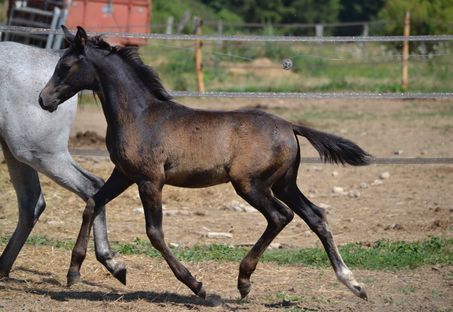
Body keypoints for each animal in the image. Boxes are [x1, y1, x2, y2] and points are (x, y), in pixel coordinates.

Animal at [0, 41, 124, 282]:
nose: (45, 99)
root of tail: (52, 54)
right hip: (17, 151)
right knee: (32, 204)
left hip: (36, 152)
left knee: (90, 186)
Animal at [38, 26, 370, 300]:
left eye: (65, 66)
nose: (43, 99)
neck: (140, 116)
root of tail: (290, 125)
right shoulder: (124, 173)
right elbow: (92, 203)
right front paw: (77, 271)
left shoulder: (150, 180)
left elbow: (154, 232)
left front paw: (196, 285)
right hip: (284, 183)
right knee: (315, 216)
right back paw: (353, 283)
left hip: (250, 184)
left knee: (280, 216)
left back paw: (244, 280)